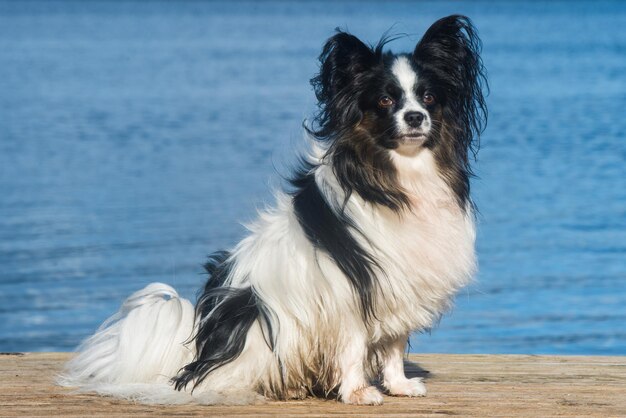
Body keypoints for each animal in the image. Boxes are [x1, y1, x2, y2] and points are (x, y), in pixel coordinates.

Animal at [58, 13, 486, 404]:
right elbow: (353, 346)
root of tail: (196, 356)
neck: (397, 175)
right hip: (256, 323)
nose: (414, 117)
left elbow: (395, 344)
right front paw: (358, 392)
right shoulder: (349, 292)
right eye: (385, 100)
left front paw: (398, 385)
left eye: (428, 98)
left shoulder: (400, 282)